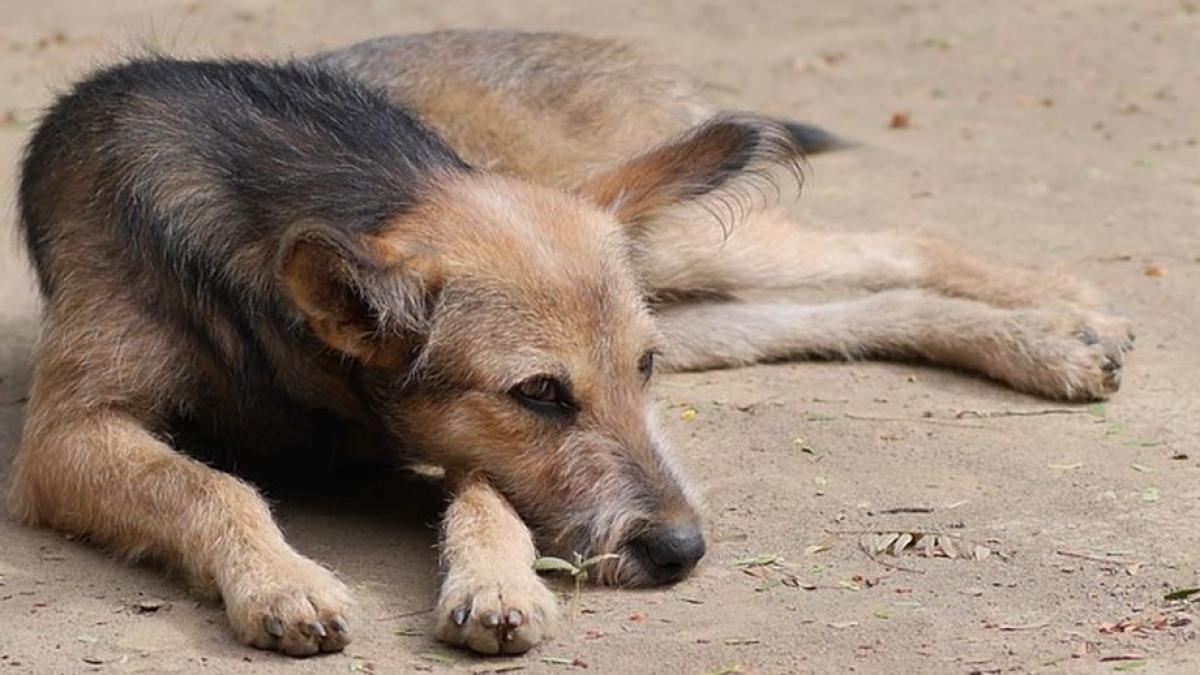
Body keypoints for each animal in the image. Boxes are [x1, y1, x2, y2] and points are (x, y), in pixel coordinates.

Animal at [11, 28, 1132, 653]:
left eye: (638, 372)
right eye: (541, 393)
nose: (683, 553)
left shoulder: (440, 435)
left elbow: (487, 500)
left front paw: (496, 583)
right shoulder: (66, 437)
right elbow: (210, 484)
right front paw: (283, 580)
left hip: (686, 250)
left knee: (895, 242)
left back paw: (1064, 309)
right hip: (694, 290)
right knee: (856, 308)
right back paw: (1053, 340)